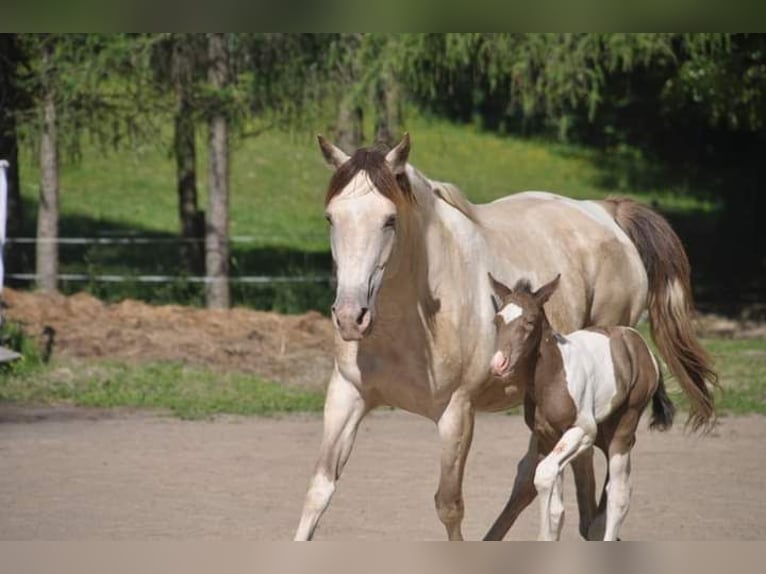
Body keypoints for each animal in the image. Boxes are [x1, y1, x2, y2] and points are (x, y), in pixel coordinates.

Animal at [488, 276, 676, 544]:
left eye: (530, 321)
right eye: (497, 320)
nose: (499, 364)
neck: (552, 377)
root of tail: (641, 344)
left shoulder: (584, 430)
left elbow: (543, 475)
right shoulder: (546, 437)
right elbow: (556, 507)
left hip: (626, 421)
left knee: (619, 492)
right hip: (607, 431)